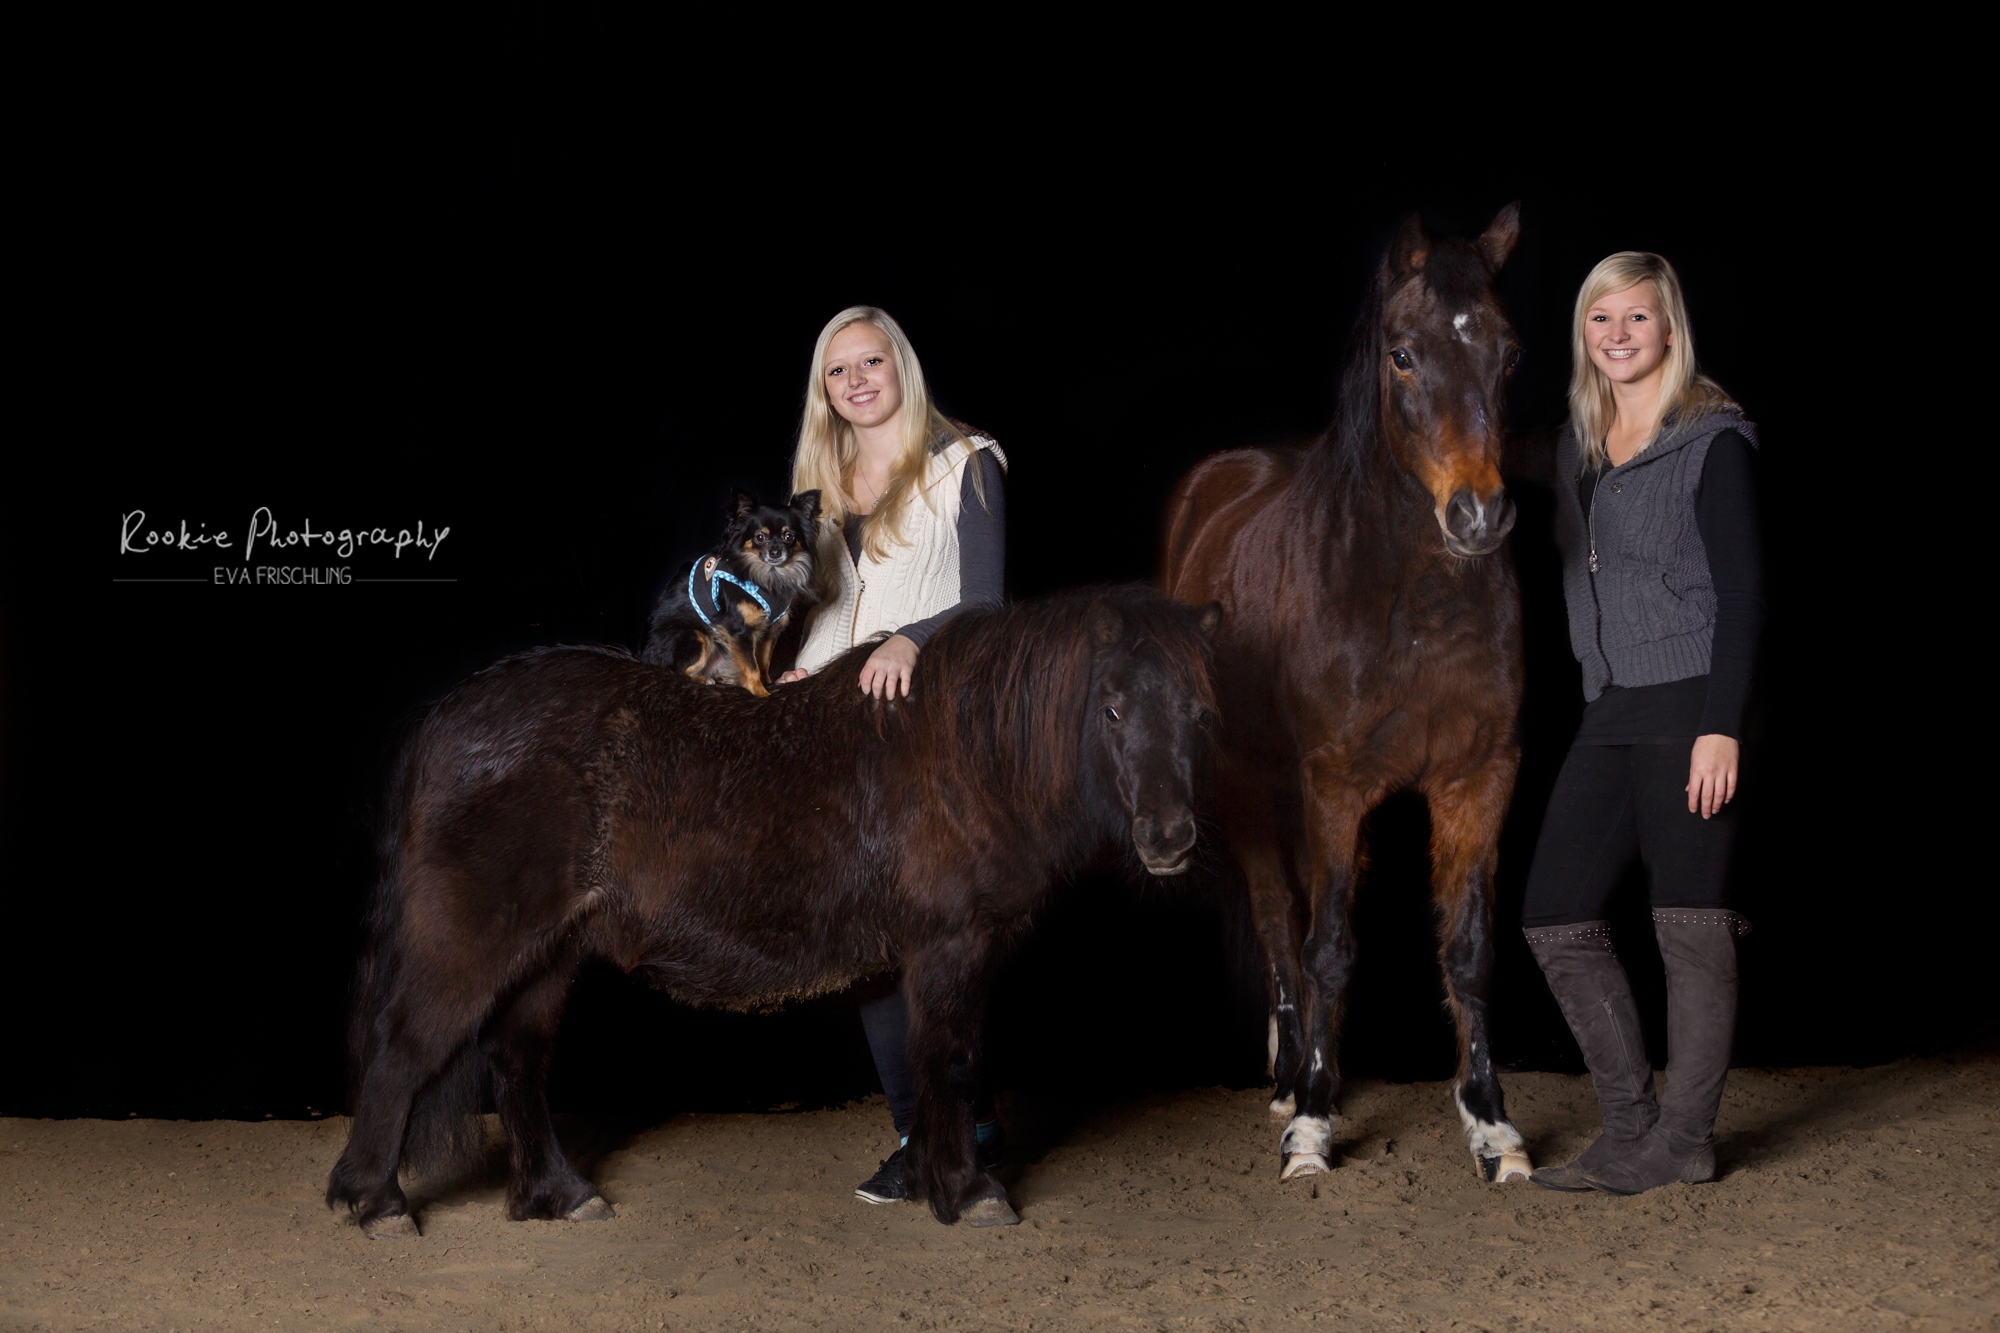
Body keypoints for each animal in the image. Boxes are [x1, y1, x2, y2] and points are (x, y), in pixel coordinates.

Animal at [325, 585, 1221, 1234]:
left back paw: (558, 1192)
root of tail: (451, 715)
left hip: (552, 949)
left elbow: (929, 1062)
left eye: (1199, 711)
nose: (1170, 836)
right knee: (405, 1047)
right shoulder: (951, 944)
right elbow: (954, 1060)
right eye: (1111, 707)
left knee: (516, 1062)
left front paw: (927, 1179)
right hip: (472, 936)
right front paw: (967, 1191)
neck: (967, 755)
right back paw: (376, 1200)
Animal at [642, 488, 821, 697]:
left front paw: (768, 683)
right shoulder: (739, 630)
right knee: (674, 670)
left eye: (789, 536)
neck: (768, 576)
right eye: (760, 537)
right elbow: (752, 666)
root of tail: (647, 655)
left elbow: (764, 662)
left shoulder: (769, 631)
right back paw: (702, 679)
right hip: (696, 637)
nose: (775, 552)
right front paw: (760, 692)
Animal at [1161, 205, 1534, 1185]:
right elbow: (1324, 945)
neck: (1408, 600)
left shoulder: (1480, 779)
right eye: (1402, 354)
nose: (1479, 515)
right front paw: (1312, 1122)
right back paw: (1295, 1072)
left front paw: (1491, 1122)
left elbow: (1469, 949)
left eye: (1509, 353)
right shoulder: (1333, 785)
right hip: (1254, 793)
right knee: (1279, 922)